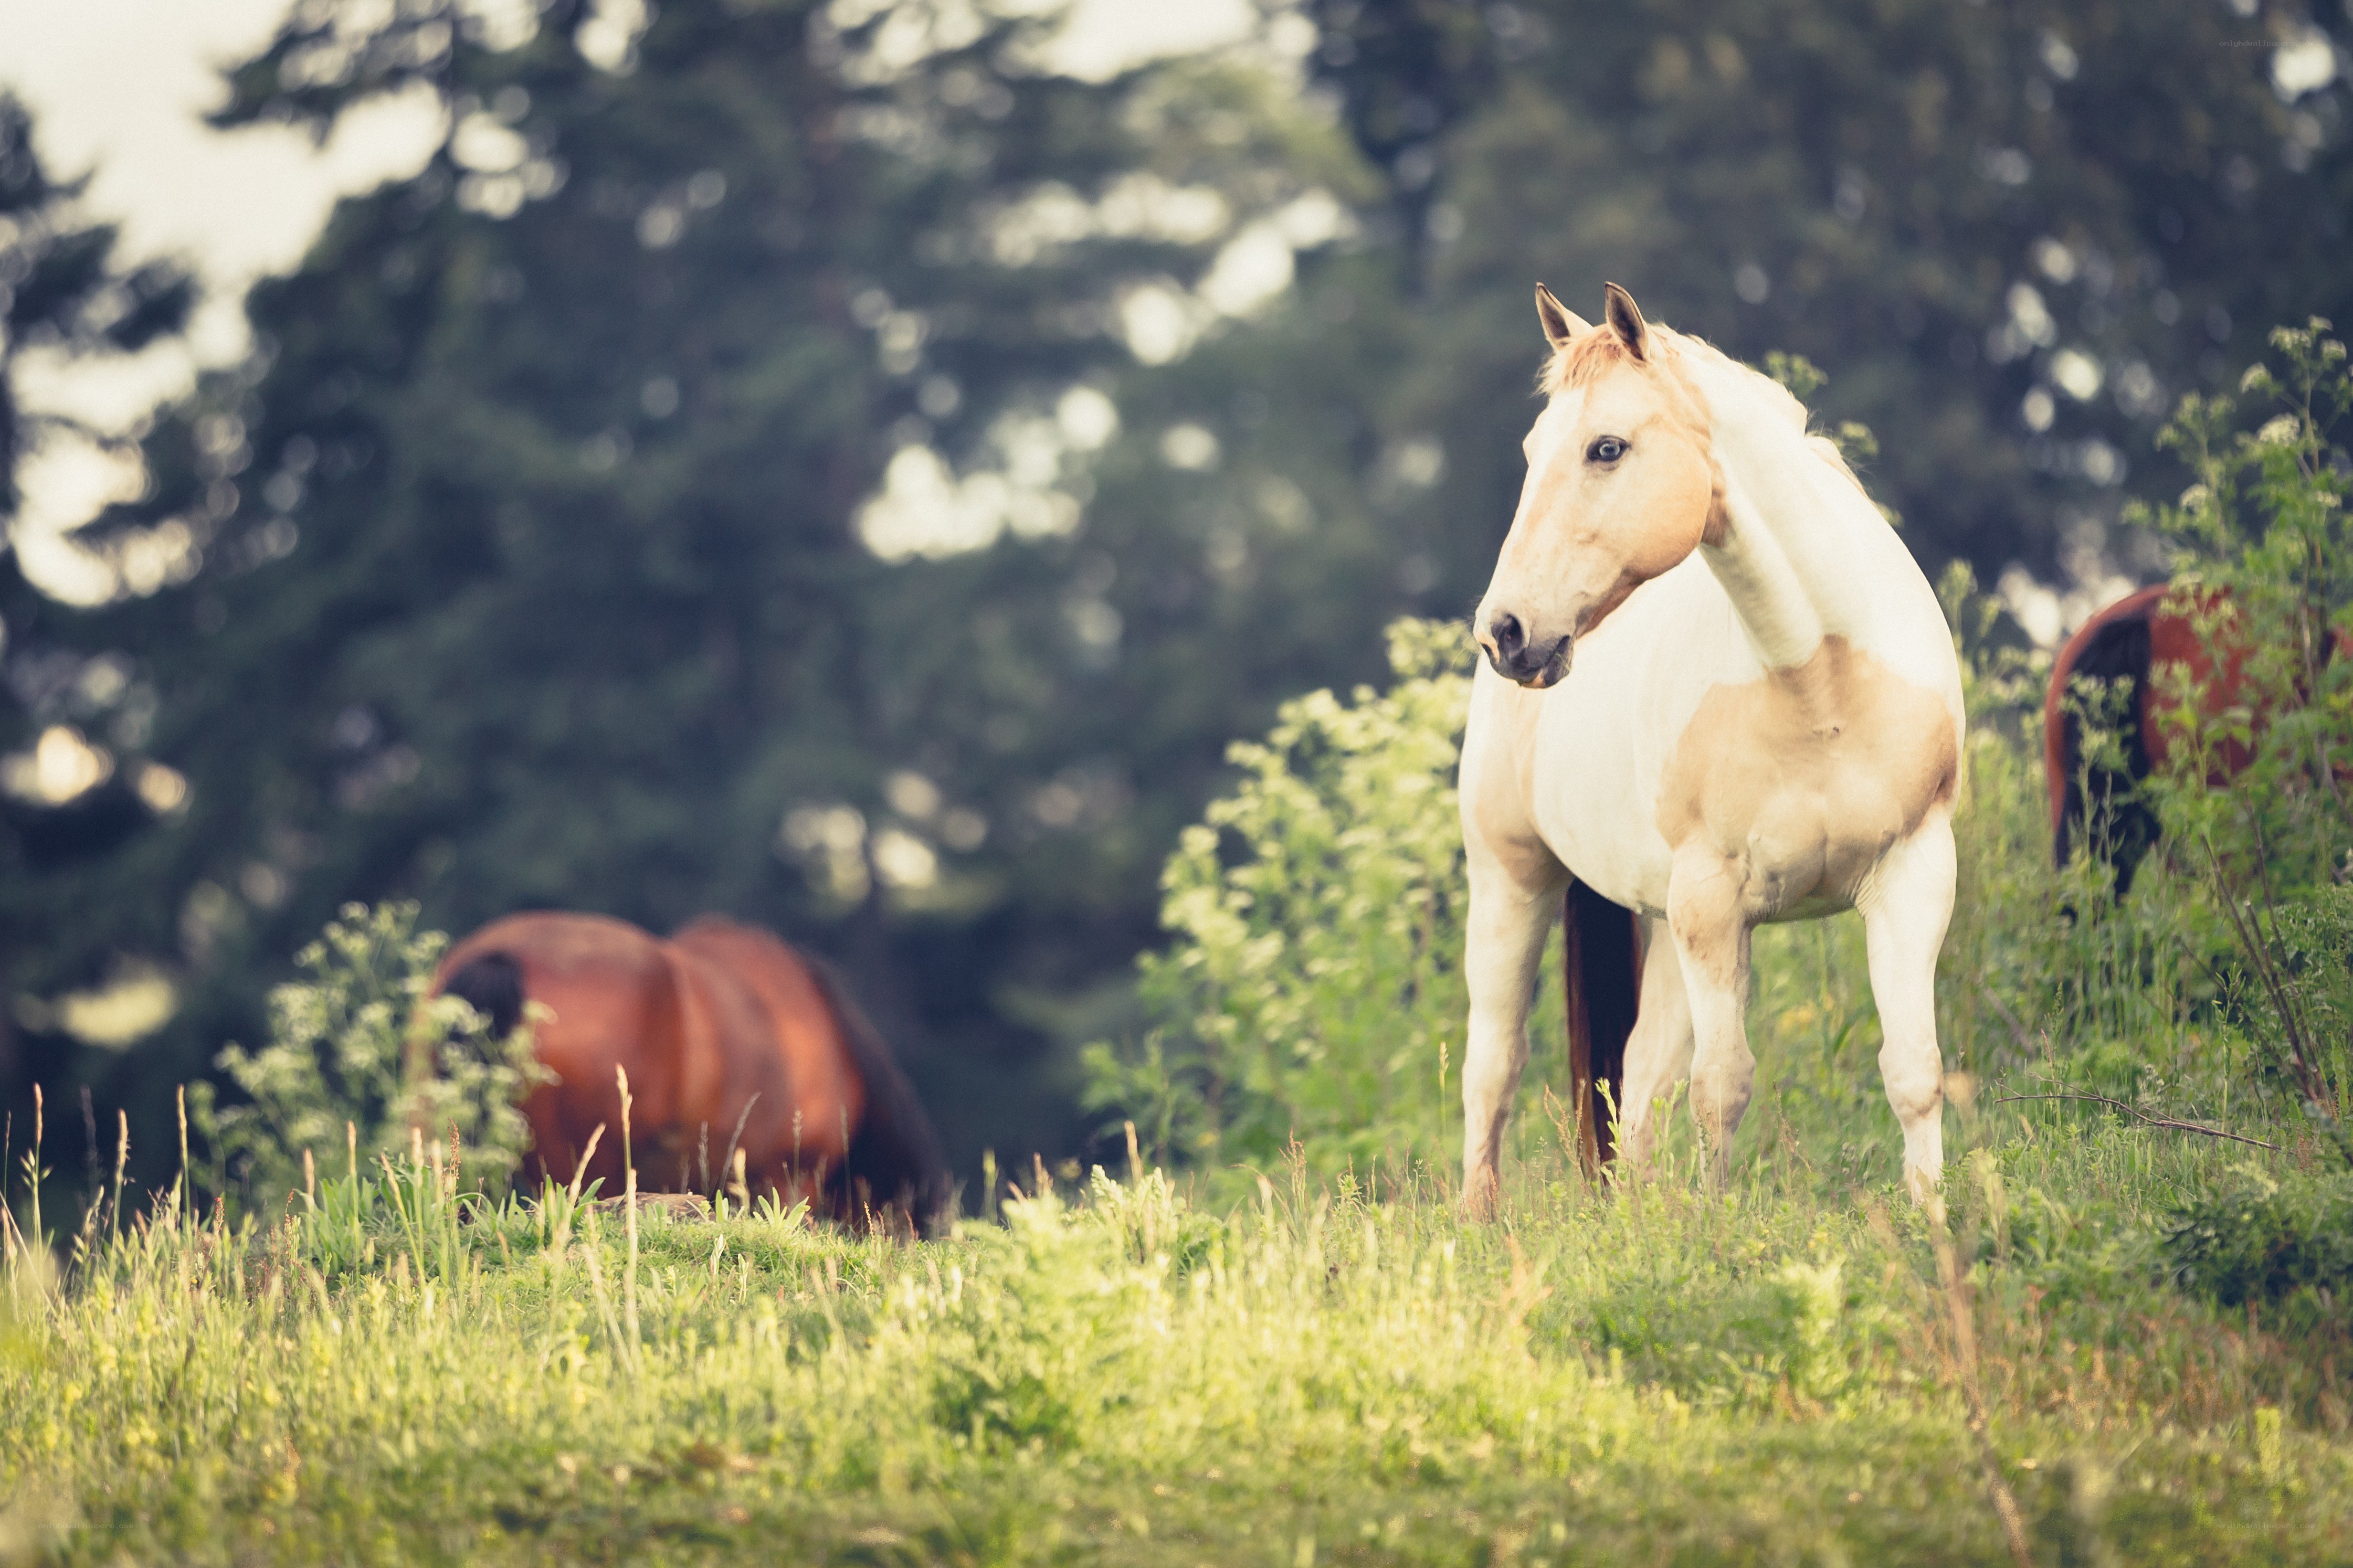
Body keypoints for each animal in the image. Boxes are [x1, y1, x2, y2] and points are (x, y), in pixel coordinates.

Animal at [1459, 282, 1964, 1213]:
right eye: (1530, 450)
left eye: (1606, 447)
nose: (1505, 631)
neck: (1819, 683)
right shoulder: (1713, 902)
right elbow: (1720, 1088)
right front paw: (1719, 1231)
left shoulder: (1913, 877)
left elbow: (1913, 1072)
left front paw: (1937, 1225)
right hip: (1513, 882)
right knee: (1493, 1072)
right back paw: (1476, 1226)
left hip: (1659, 922)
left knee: (1637, 1087)